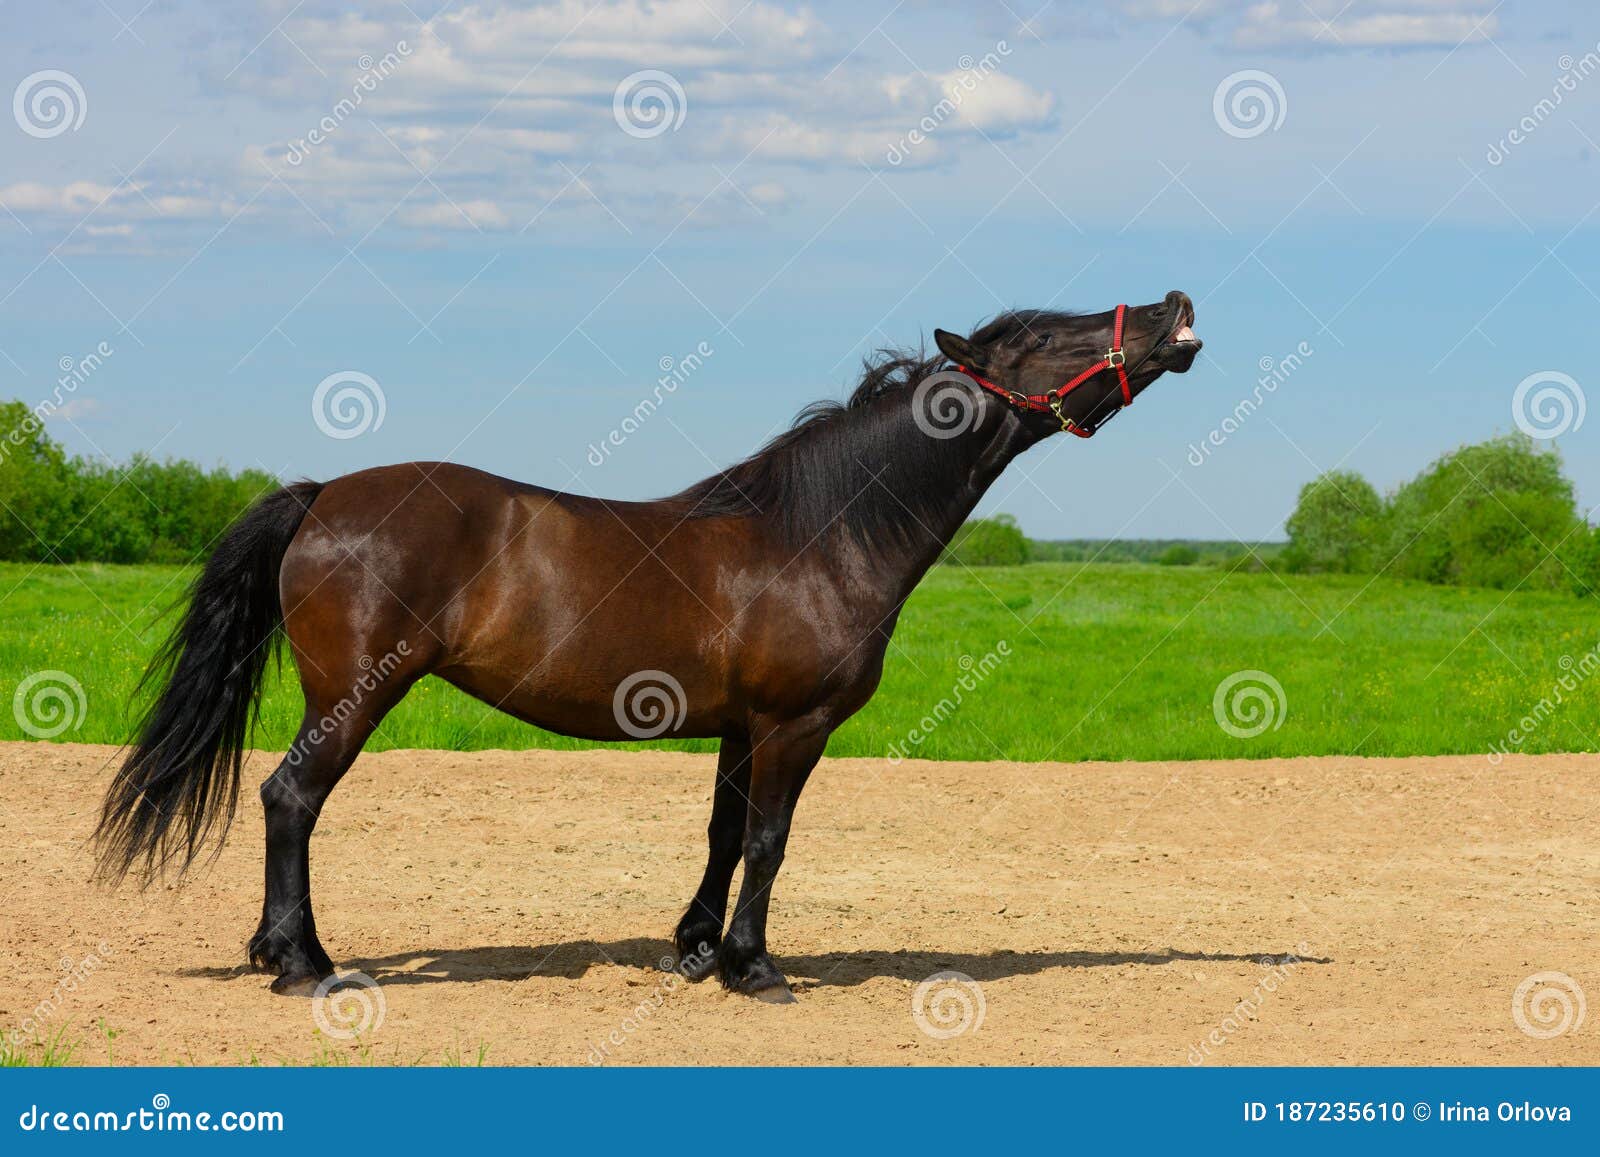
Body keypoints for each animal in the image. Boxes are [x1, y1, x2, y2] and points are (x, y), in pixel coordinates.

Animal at [96, 291, 1203, 1004]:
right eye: (1047, 335)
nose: (1174, 306)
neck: (821, 530)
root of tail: (323, 493)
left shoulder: (742, 726)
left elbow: (721, 834)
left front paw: (696, 950)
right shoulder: (794, 724)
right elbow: (768, 840)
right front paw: (757, 969)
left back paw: (276, 950)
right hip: (356, 694)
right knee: (291, 797)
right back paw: (305, 965)